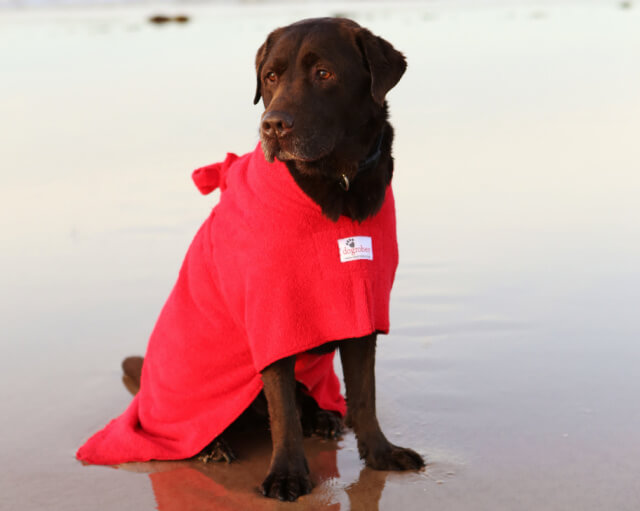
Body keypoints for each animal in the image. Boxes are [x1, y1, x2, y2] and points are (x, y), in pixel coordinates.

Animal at [76, 17, 424, 504]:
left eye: (324, 74)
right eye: (270, 77)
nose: (273, 124)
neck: (335, 184)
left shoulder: (363, 308)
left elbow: (364, 395)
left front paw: (380, 454)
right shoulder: (271, 316)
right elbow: (282, 408)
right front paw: (287, 475)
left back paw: (323, 417)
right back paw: (213, 445)